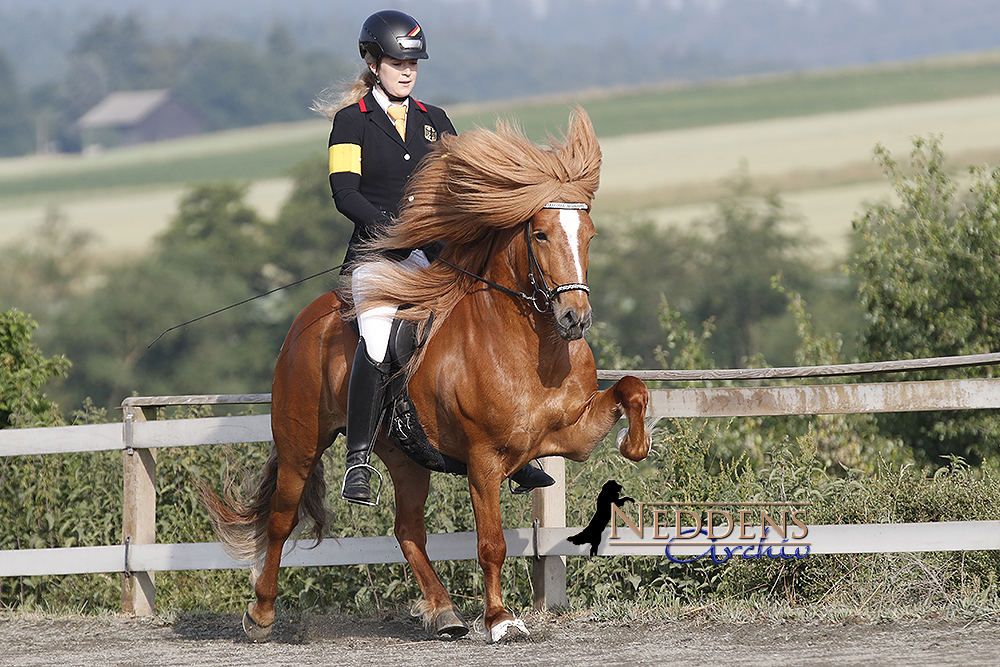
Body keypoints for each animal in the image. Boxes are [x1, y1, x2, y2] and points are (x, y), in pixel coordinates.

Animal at [204, 108, 656, 640]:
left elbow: (632, 388)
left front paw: (635, 444)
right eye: (541, 234)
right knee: (281, 518)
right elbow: (490, 543)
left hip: (407, 456)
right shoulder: (483, 459)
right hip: (301, 443)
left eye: (588, 236)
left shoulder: (571, 433)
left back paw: (444, 613)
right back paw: (261, 614)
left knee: (407, 531)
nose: (575, 320)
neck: (533, 349)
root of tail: (303, 323)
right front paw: (501, 619)